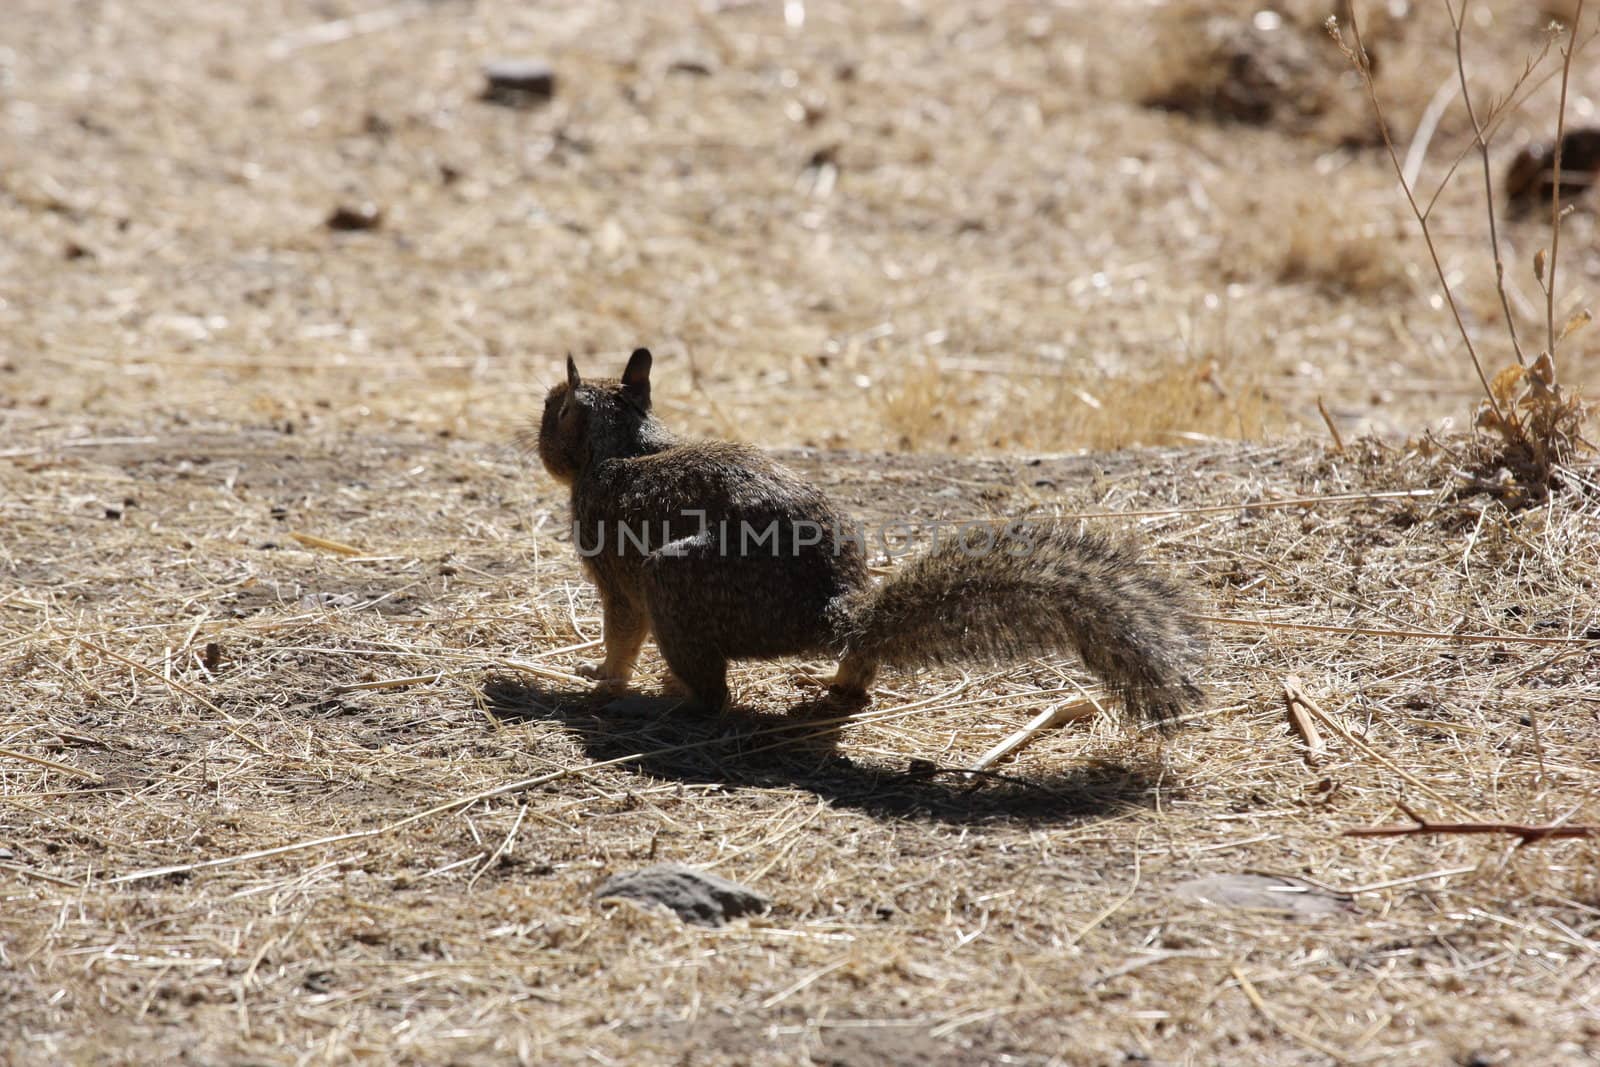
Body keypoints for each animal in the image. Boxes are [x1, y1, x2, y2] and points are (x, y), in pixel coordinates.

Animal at [531, 347, 1203, 729]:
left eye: (550, 407)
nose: (532, 441)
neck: (628, 447)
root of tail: (830, 611)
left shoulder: (612, 569)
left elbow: (623, 634)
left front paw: (603, 678)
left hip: (672, 577)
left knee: (713, 697)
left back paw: (660, 702)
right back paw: (838, 686)